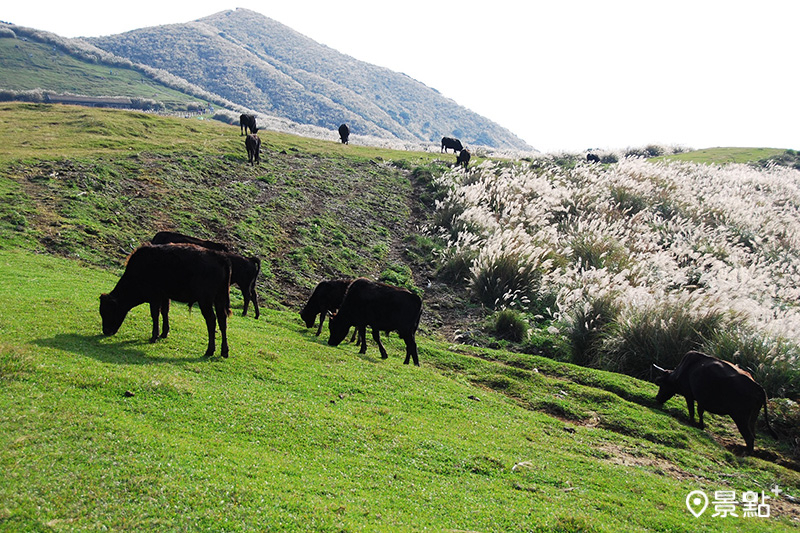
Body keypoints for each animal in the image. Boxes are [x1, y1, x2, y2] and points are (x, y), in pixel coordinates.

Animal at [98, 243, 233, 356]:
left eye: (108, 312)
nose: (106, 331)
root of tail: (220, 257)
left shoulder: (155, 297)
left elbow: (155, 314)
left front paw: (154, 337)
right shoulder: (165, 296)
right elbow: (164, 312)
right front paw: (164, 333)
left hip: (205, 300)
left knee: (211, 320)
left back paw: (210, 351)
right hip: (219, 299)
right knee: (222, 320)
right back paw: (224, 351)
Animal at [652, 350, 780, 454]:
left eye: (661, 383)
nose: (657, 398)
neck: (681, 371)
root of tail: (757, 386)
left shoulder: (689, 395)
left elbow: (692, 411)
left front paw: (692, 422)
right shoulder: (701, 399)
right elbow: (700, 412)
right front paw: (701, 425)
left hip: (740, 417)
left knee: (749, 437)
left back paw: (746, 453)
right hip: (753, 417)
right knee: (753, 434)